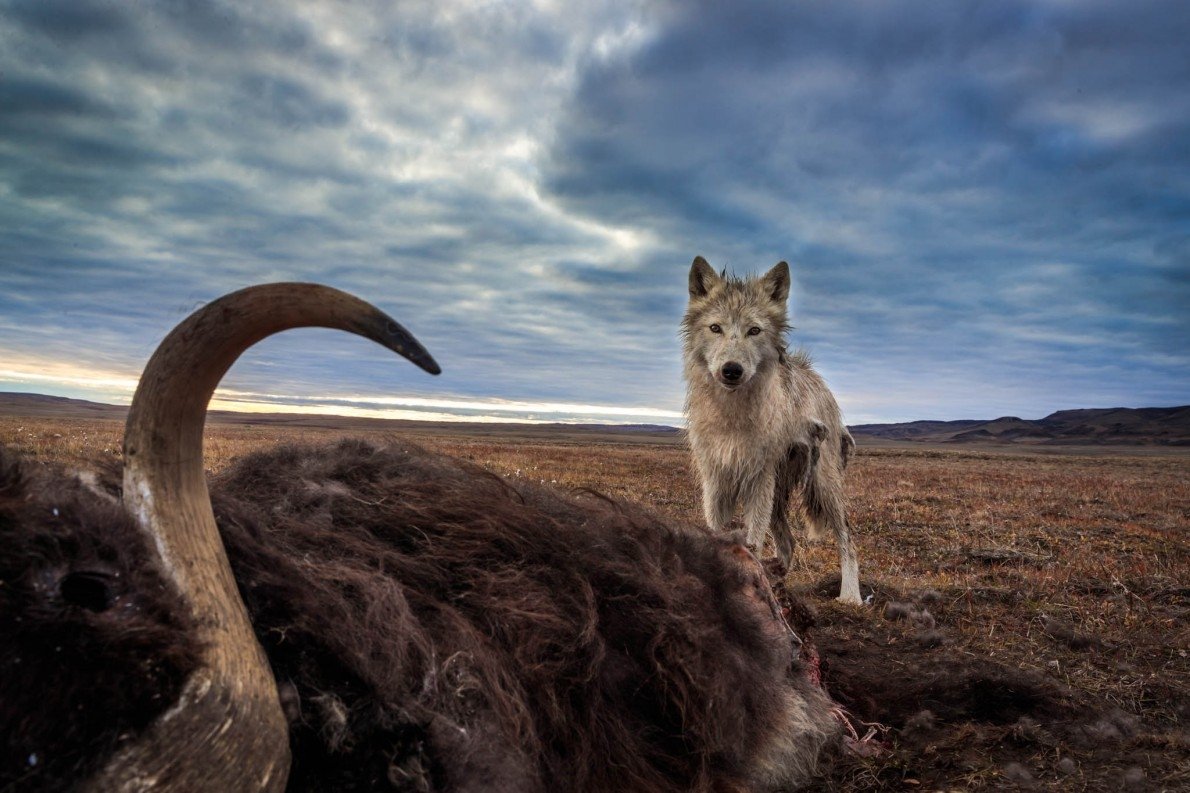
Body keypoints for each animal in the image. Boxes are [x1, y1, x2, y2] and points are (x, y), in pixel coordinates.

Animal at [680, 255, 866, 602]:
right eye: (715, 328)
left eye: (754, 331)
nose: (731, 370)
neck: (733, 414)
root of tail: (818, 379)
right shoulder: (716, 483)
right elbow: (719, 535)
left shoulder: (757, 483)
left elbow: (753, 541)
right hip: (778, 495)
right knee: (788, 543)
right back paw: (778, 581)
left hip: (821, 485)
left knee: (847, 538)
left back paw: (850, 596)